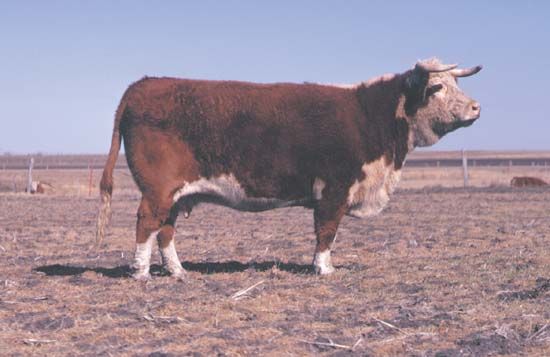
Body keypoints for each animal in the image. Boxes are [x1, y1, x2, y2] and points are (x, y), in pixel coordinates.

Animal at [98, 57, 484, 278]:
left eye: (458, 84)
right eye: (437, 86)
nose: (476, 107)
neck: (370, 115)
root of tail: (143, 84)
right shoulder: (334, 190)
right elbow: (326, 232)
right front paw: (325, 269)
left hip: (177, 194)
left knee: (166, 229)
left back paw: (178, 272)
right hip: (158, 190)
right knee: (147, 222)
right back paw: (141, 273)